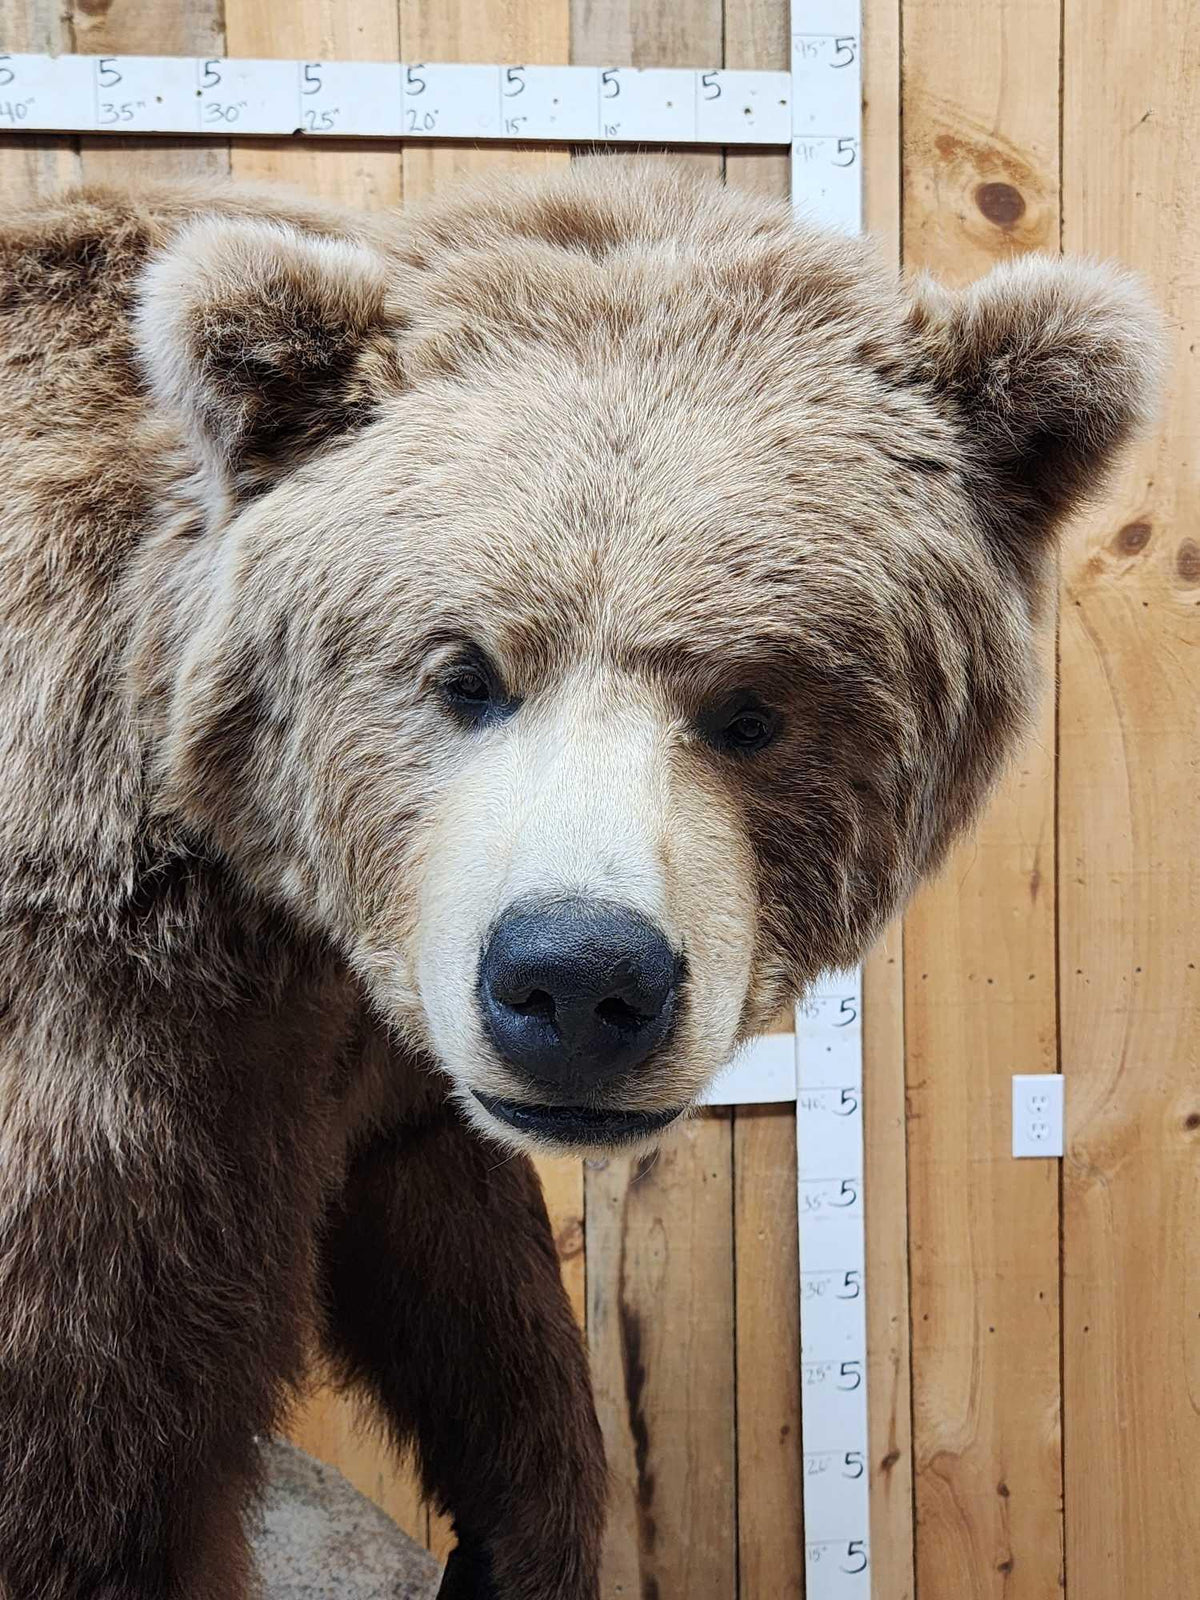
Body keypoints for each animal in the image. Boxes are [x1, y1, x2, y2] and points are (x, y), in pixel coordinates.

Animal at [0, 156, 1159, 1600]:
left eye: (752, 707)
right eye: (464, 672)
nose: (577, 981)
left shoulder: (385, 1046)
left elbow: (474, 1277)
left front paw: (518, 1537)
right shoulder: (118, 1021)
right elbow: (98, 1429)